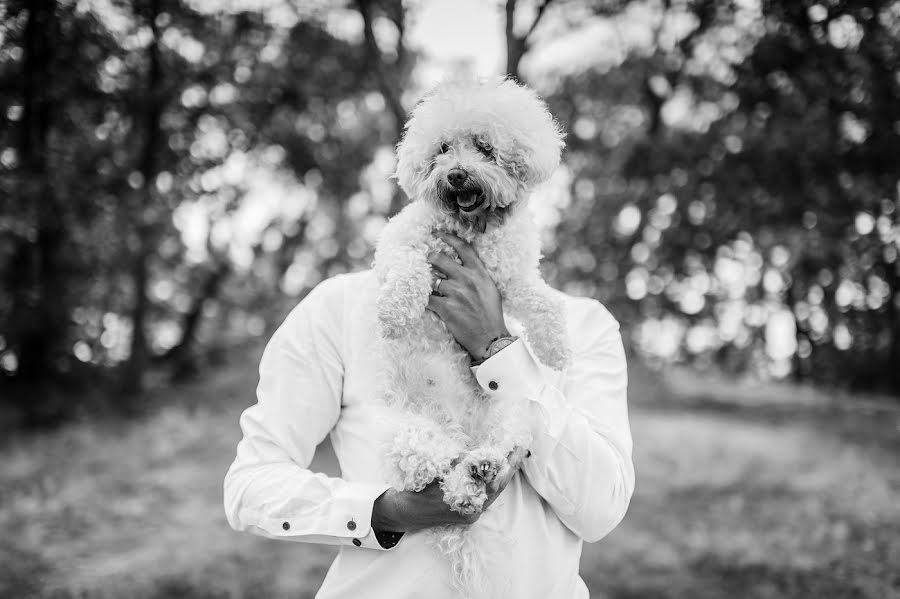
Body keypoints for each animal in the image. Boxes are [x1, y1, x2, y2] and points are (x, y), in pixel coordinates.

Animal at [374, 77, 572, 596]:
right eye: (442, 149)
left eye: (486, 148)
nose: (458, 175)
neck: (472, 229)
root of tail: (458, 433)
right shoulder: (402, 245)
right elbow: (408, 270)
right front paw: (394, 312)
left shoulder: (515, 277)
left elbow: (544, 302)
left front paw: (558, 346)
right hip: (405, 431)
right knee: (432, 468)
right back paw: (462, 484)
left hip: (508, 415)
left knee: (490, 454)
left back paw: (482, 468)